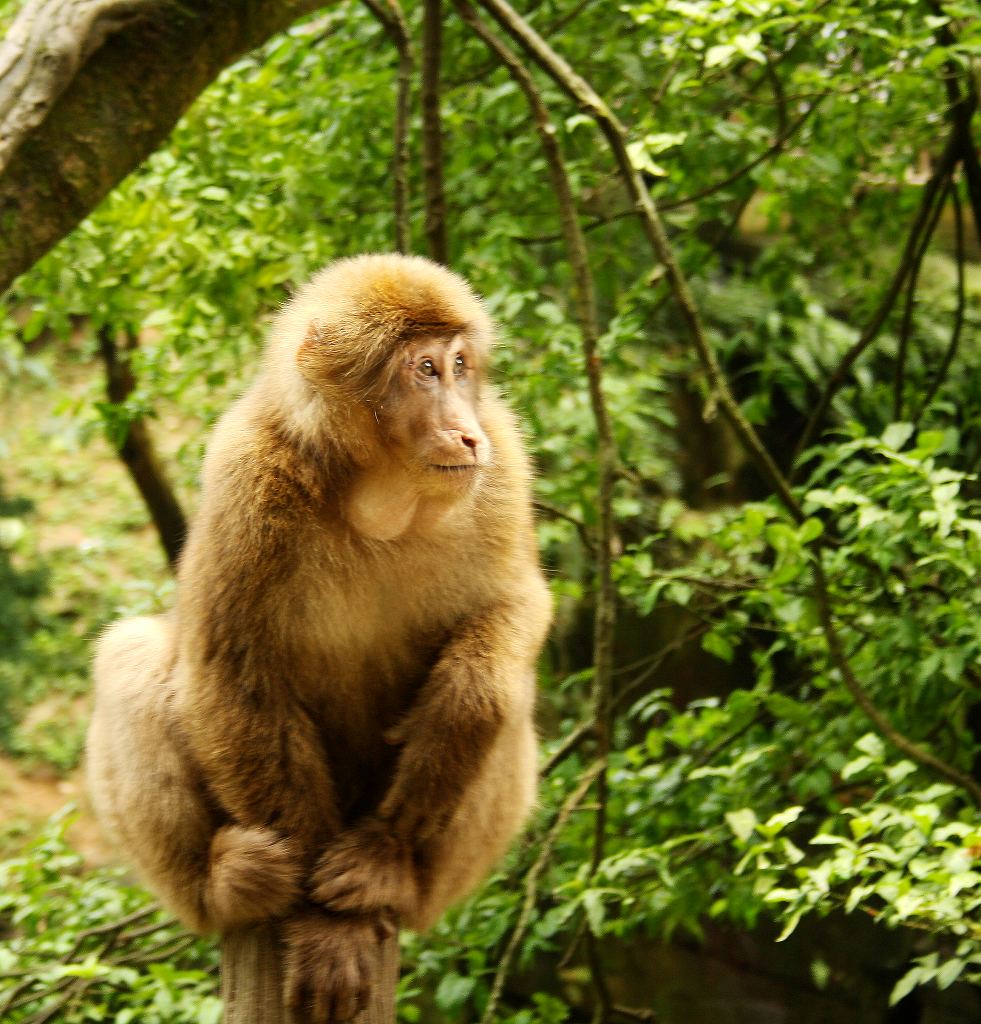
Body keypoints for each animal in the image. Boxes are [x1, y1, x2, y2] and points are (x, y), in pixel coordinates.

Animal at [88, 251, 552, 1019]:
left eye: (460, 366)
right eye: (424, 370)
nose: (466, 432)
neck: (379, 500)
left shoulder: (504, 463)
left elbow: (515, 609)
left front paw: (453, 716)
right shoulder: (245, 478)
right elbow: (233, 671)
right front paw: (319, 929)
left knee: (508, 693)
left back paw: (392, 870)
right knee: (130, 657)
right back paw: (224, 884)